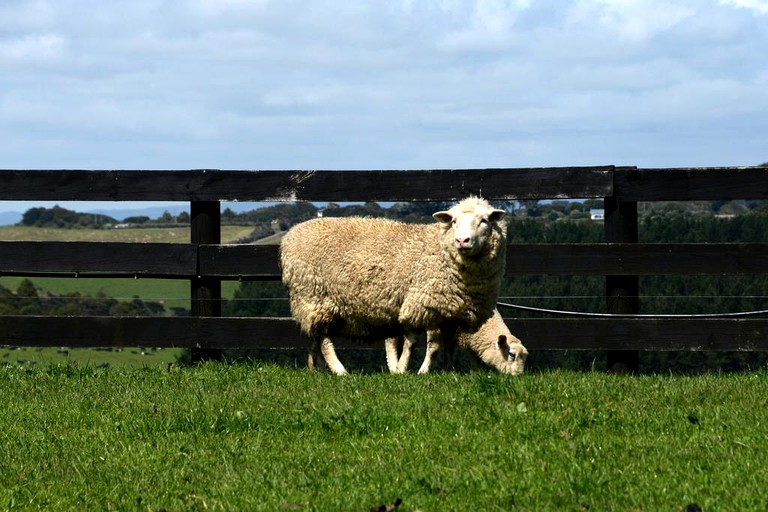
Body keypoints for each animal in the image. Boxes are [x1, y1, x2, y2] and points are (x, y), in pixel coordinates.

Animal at [280, 196, 508, 376]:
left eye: (484, 221)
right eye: (453, 221)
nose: (462, 241)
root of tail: (288, 237)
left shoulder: (453, 314)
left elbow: (449, 345)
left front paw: (448, 371)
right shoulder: (418, 305)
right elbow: (412, 342)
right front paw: (401, 370)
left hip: (311, 303)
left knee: (315, 339)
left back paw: (315, 368)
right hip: (315, 297)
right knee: (325, 341)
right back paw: (340, 371)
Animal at [384, 308, 528, 376]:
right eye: (511, 354)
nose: (519, 375)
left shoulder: (454, 332)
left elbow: (452, 351)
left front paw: (448, 371)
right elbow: (434, 348)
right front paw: (423, 372)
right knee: (391, 340)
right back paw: (395, 368)